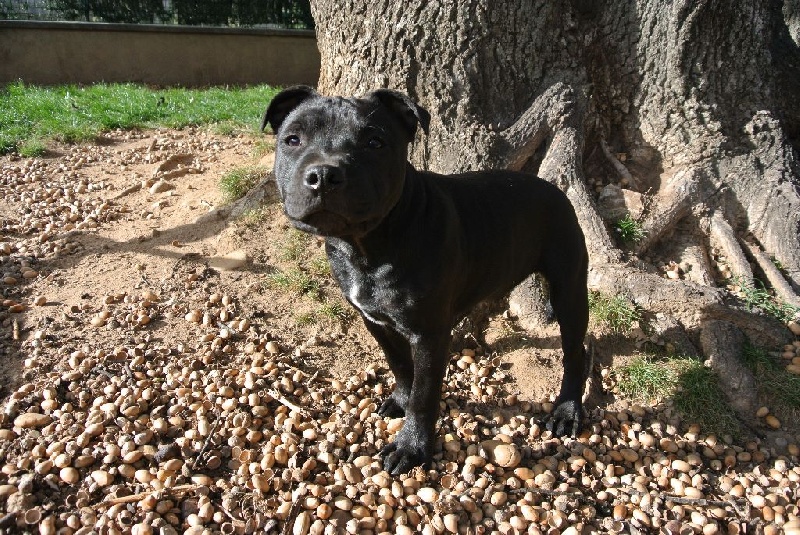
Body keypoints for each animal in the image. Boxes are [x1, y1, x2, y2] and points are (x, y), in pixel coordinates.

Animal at [262, 86, 588, 476]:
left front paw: (412, 446)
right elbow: (401, 366)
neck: (368, 246)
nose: (324, 174)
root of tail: (553, 187)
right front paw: (399, 401)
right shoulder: (375, 321)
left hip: (569, 287)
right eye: (292, 140)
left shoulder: (429, 334)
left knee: (575, 351)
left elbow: (424, 392)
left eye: (375, 142)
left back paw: (567, 410)